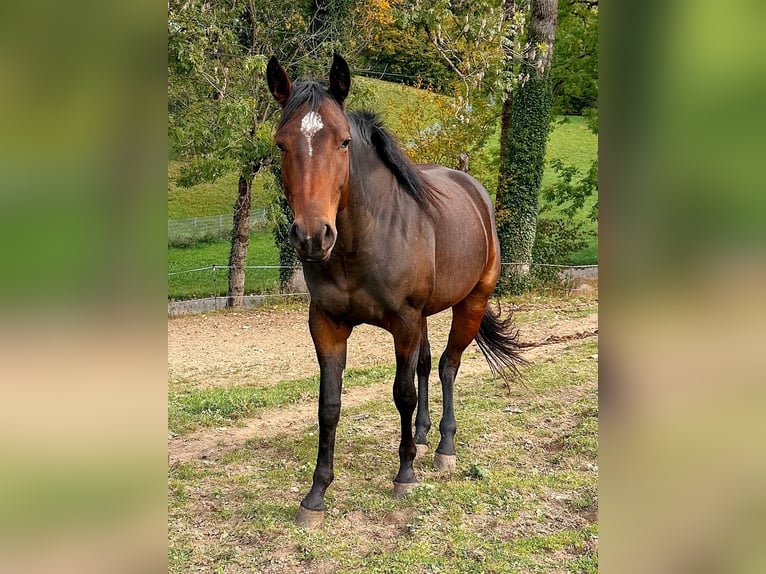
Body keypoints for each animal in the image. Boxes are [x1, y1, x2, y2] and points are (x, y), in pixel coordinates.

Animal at [266, 54, 525, 528]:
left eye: (344, 142)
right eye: (281, 144)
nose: (312, 237)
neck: (362, 242)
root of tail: (475, 192)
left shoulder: (403, 322)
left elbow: (402, 393)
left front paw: (404, 473)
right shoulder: (327, 325)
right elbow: (328, 405)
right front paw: (316, 494)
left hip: (470, 303)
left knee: (446, 366)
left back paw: (442, 447)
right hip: (425, 317)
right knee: (426, 365)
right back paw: (421, 437)